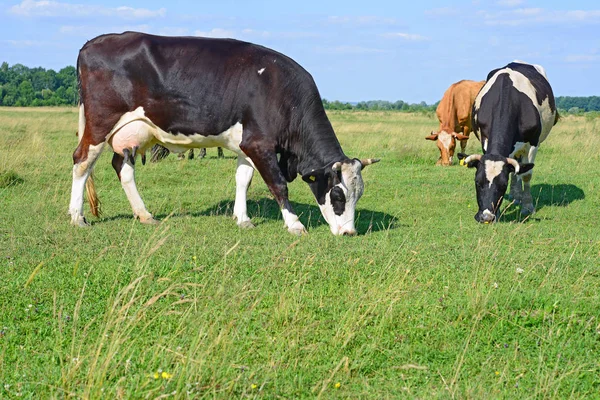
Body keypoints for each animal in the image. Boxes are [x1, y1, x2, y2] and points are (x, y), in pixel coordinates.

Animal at [68, 33, 378, 238]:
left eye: (359, 194)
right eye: (338, 195)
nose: (350, 232)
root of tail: (93, 42)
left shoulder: (246, 145)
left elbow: (243, 180)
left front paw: (242, 218)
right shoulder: (260, 143)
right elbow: (278, 184)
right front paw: (294, 223)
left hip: (133, 132)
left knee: (122, 167)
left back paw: (145, 215)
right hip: (100, 122)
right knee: (82, 161)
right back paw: (77, 216)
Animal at [462, 63, 560, 225]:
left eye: (503, 185)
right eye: (477, 182)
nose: (486, 217)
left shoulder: (532, 144)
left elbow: (526, 175)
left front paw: (528, 207)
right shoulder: (485, 140)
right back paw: (515, 196)